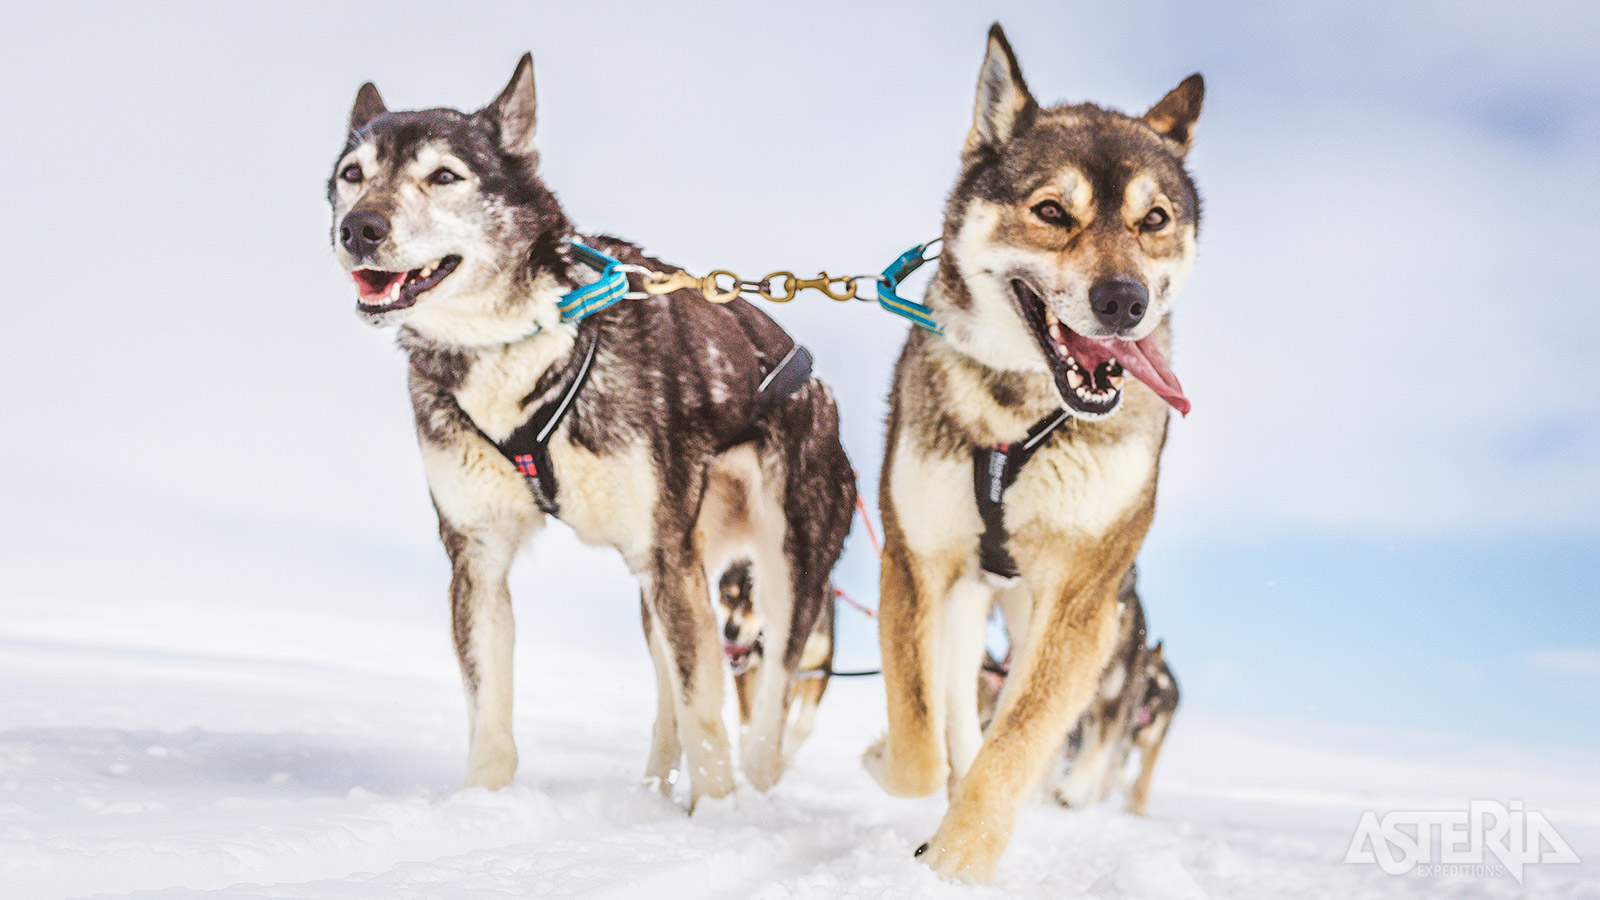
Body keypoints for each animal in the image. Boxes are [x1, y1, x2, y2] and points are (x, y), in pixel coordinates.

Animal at [329, 54, 857, 797]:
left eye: (444, 176)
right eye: (353, 174)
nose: (360, 228)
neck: (513, 350)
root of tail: (821, 392)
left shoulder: (667, 557)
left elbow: (707, 717)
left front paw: (718, 812)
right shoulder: (479, 555)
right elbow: (491, 712)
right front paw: (483, 804)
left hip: (780, 581)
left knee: (764, 716)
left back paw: (750, 796)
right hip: (666, 582)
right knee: (670, 696)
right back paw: (654, 797)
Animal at [864, 21, 1203, 877]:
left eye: (1155, 219)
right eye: (1052, 210)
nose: (1124, 302)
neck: (1021, 415)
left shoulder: (1079, 600)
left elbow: (1019, 741)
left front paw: (959, 862)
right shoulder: (918, 562)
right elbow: (920, 737)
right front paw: (899, 765)